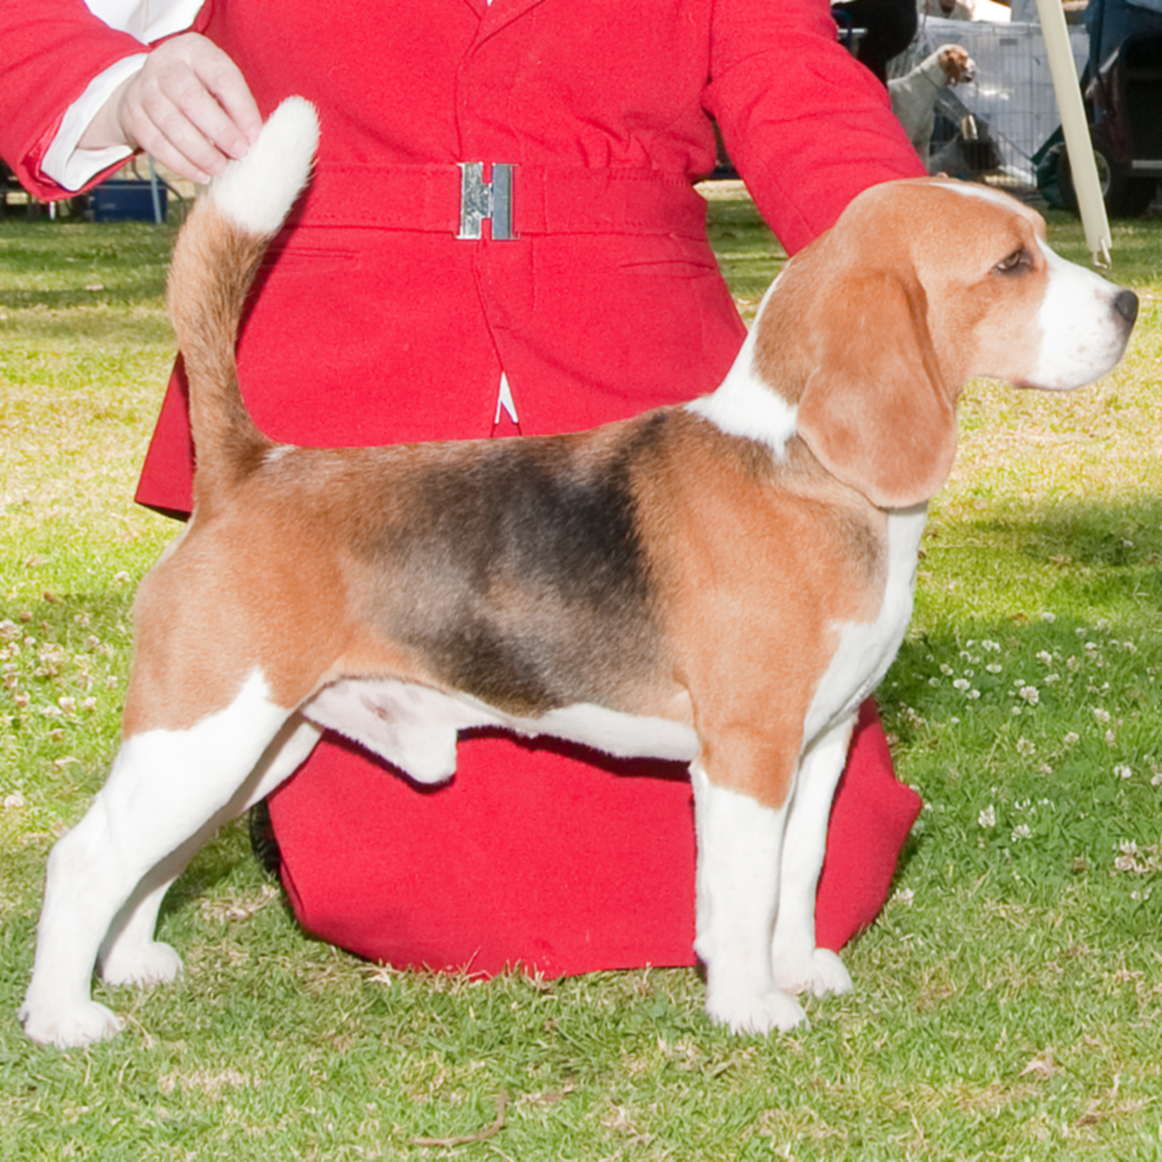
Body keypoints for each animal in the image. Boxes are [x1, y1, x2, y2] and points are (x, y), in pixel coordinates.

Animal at [15, 97, 1134, 1045]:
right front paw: (746, 1004)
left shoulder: (818, 746)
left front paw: (797, 969)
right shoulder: (744, 753)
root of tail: (250, 468)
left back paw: (130, 963)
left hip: (256, 743)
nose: (1127, 301)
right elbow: (740, 890)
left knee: (151, 859)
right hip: (205, 729)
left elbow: (799, 870)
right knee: (85, 856)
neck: (803, 468)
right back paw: (65, 1017)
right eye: (1010, 264)